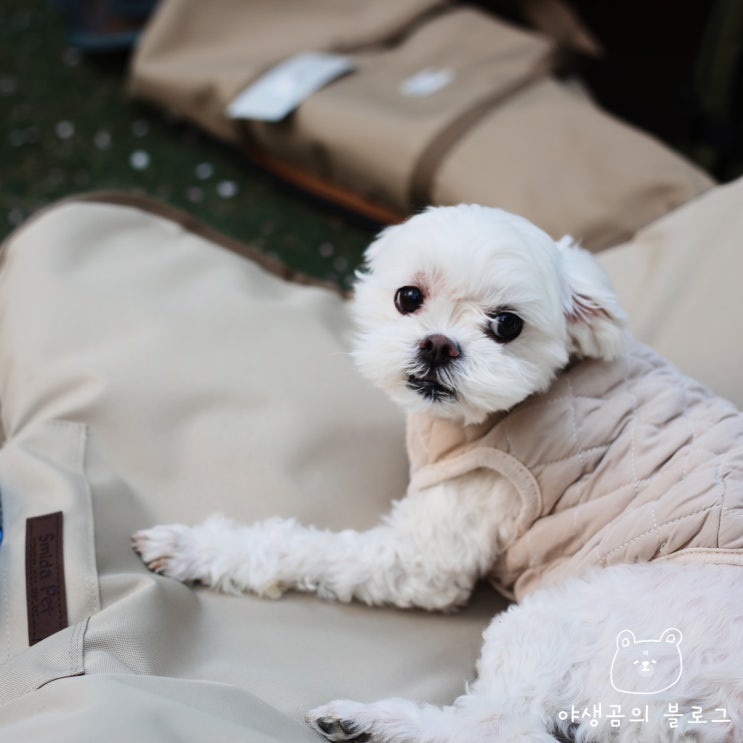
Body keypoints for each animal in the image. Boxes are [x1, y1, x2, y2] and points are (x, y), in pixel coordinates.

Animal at [134, 206, 743, 743]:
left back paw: (371, 722)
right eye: (409, 297)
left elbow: (300, 548)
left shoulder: (438, 545)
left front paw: (194, 547)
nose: (438, 344)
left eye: (507, 325)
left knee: (500, 728)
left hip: (581, 622)